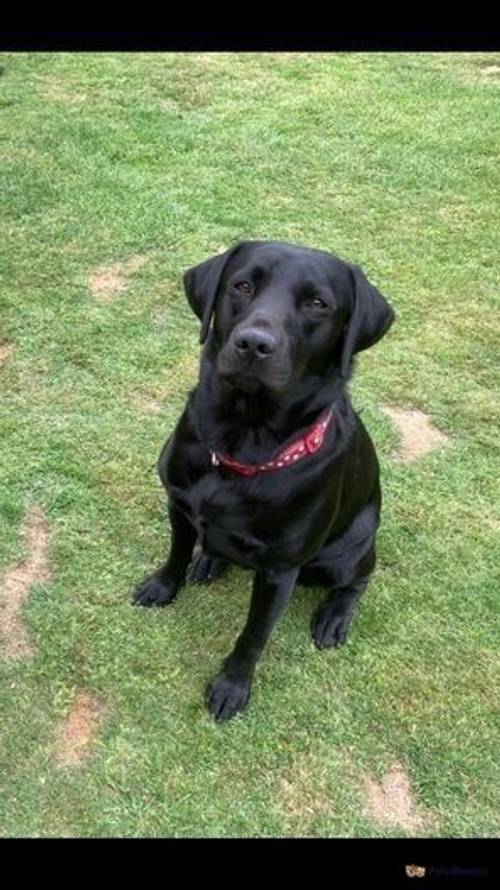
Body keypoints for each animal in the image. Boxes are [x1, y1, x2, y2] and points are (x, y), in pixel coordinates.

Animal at [133, 239, 394, 720]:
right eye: (242, 285)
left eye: (317, 304)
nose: (254, 344)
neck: (241, 441)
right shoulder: (178, 504)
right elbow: (175, 554)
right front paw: (162, 586)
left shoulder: (278, 571)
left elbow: (253, 636)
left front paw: (232, 686)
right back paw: (210, 559)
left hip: (348, 551)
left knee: (359, 578)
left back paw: (334, 617)